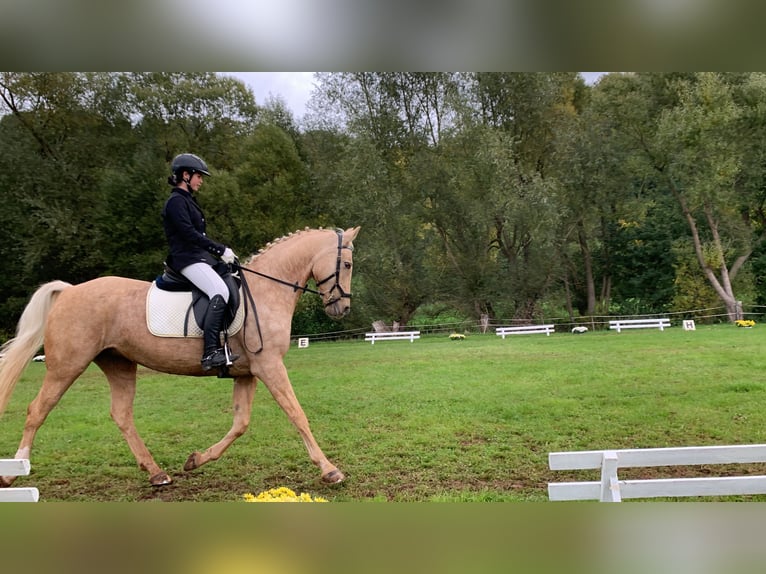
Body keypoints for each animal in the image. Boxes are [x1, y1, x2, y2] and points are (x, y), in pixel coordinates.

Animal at [0, 227, 360, 492]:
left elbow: (240, 423)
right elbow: (297, 414)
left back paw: (156, 473)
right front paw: (330, 470)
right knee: (37, 411)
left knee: (122, 415)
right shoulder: (269, 366)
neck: (265, 290)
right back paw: (12, 474)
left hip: (118, 364)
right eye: (347, 265)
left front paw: (196, 460)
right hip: (66, 366)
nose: (341, 308)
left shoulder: (247, 373)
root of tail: (70, 290)